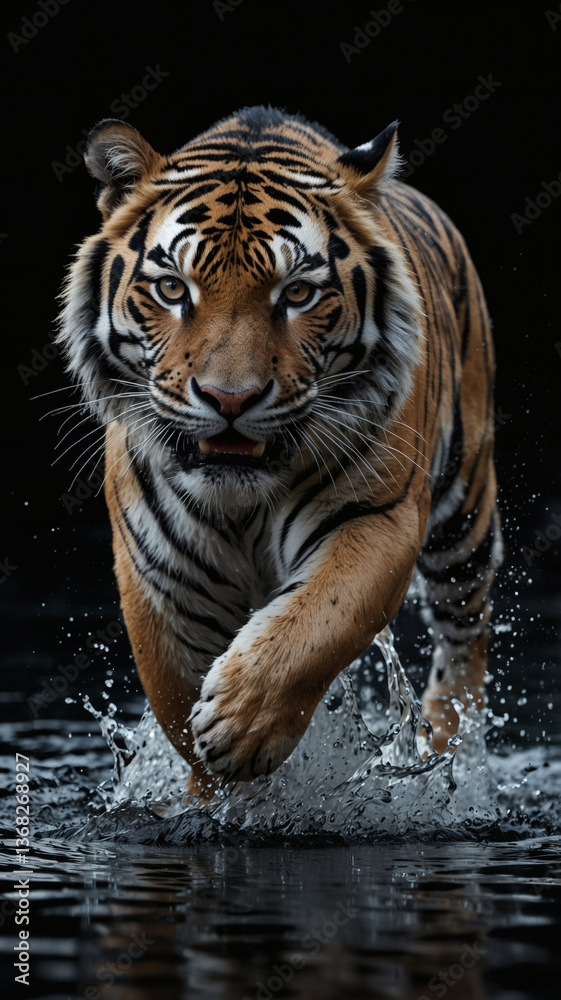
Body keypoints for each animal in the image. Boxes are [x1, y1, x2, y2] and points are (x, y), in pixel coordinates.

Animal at [57, 105, 502, 801]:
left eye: (297, 294)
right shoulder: (159, 570)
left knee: (464, 633)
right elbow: (175, 701)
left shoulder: (379, 518)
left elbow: (319, 624)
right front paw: (216, 795)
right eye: (172, 289)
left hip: (464, 517)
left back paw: (450, 749)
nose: (228, 398)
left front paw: (240, 728)